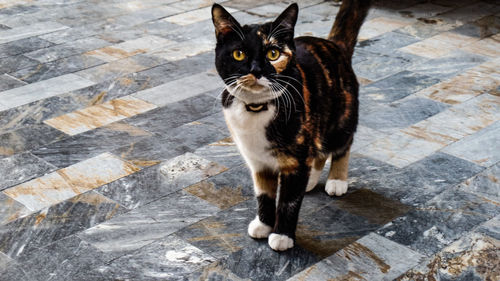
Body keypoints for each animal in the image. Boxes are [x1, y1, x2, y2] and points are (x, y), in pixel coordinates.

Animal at [211, 0, 372, 249]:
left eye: (273, 53)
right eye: (239, 54)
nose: (256, 71)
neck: (257, 108)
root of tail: (333, 45)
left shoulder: (296, 159)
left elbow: (289, 200)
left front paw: (282, 236)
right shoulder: (258, 161)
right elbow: (264, 194)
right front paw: (264, 224)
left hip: (340, 116)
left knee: (342, 144)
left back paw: (336, 180)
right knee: (319, 151)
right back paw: (311, 180)